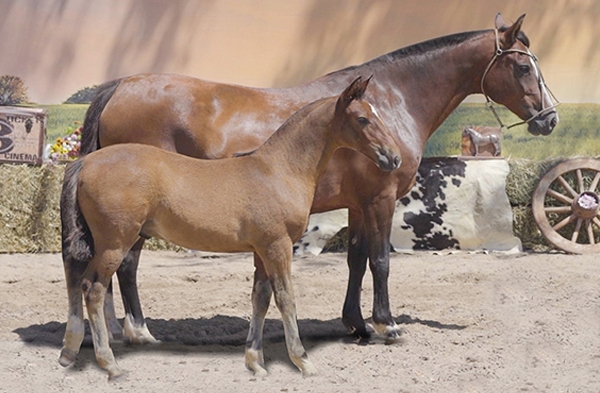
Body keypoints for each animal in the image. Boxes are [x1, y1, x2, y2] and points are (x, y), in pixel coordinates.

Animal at [58, 77, 400, 380]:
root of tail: (84, 162)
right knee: (93, 288)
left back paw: (70, 352)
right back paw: (110, 363)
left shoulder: (262, 250)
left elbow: (260, 299)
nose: (394, 158)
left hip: (99, 241)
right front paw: (302, 360)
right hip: (115, 242)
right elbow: (285, 298)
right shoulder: (278, 246)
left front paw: (256, 362)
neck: (279, 169)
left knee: (76, 276)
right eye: (363, 119)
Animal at [74, 13, 556, 344]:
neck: (391, 100)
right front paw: (387, 325)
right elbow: (381, 261)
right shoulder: (381, 199)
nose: (549, 119)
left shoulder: (359, 204)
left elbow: (357, 260)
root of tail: (120, 87)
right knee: (127, 265)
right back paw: (138, 332)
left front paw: (357, 324)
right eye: (523, 67)